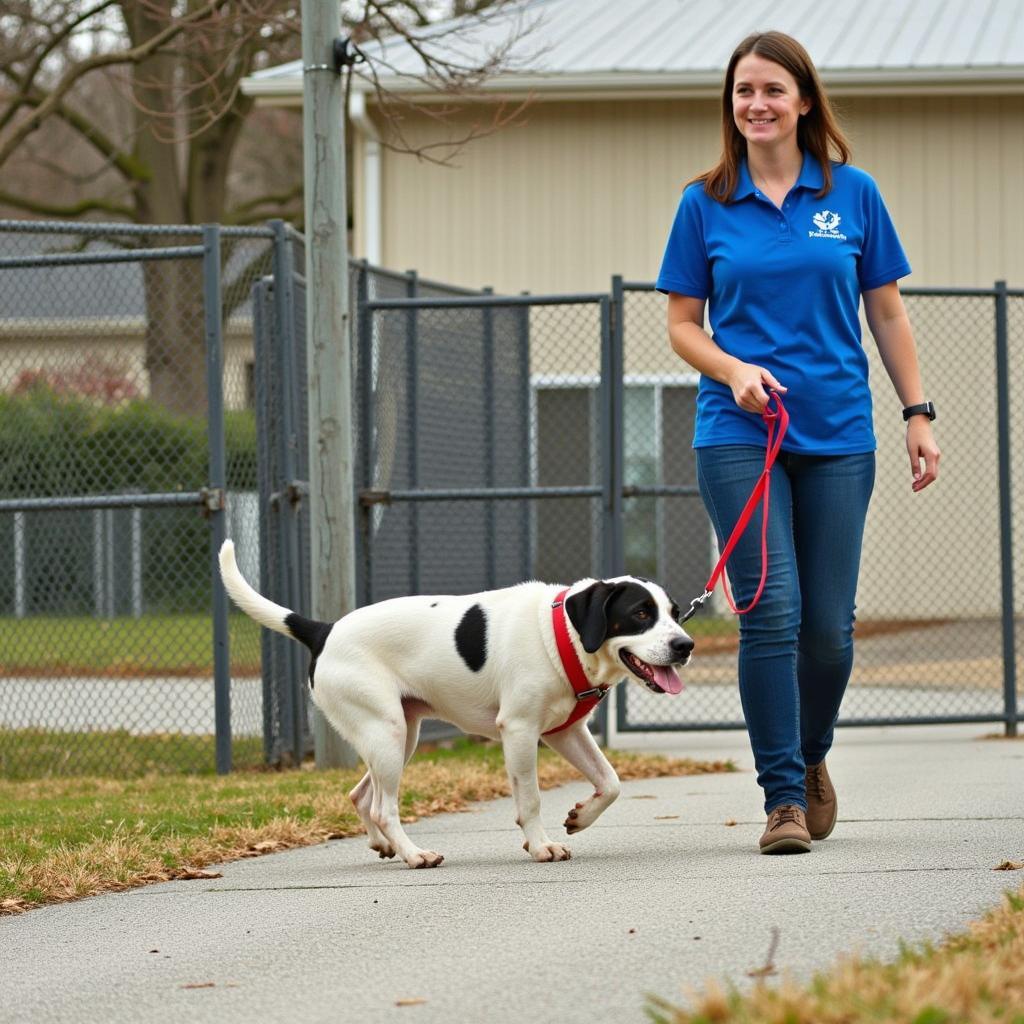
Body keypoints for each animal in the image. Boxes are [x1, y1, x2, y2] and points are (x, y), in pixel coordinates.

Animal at [219, 540, 692, 868]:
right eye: (640, 614)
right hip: (386, 733)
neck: (561, 634)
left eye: (675, 613)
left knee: (360, 795)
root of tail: (324, 629)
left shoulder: (566, 731)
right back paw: (414, 854)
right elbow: (531, 798)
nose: (685, 645)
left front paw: (581, 816)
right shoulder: (520, 730)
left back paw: (385, 844)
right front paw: (541, 846)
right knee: (383, 806)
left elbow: (611, 782)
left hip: (399, 736)